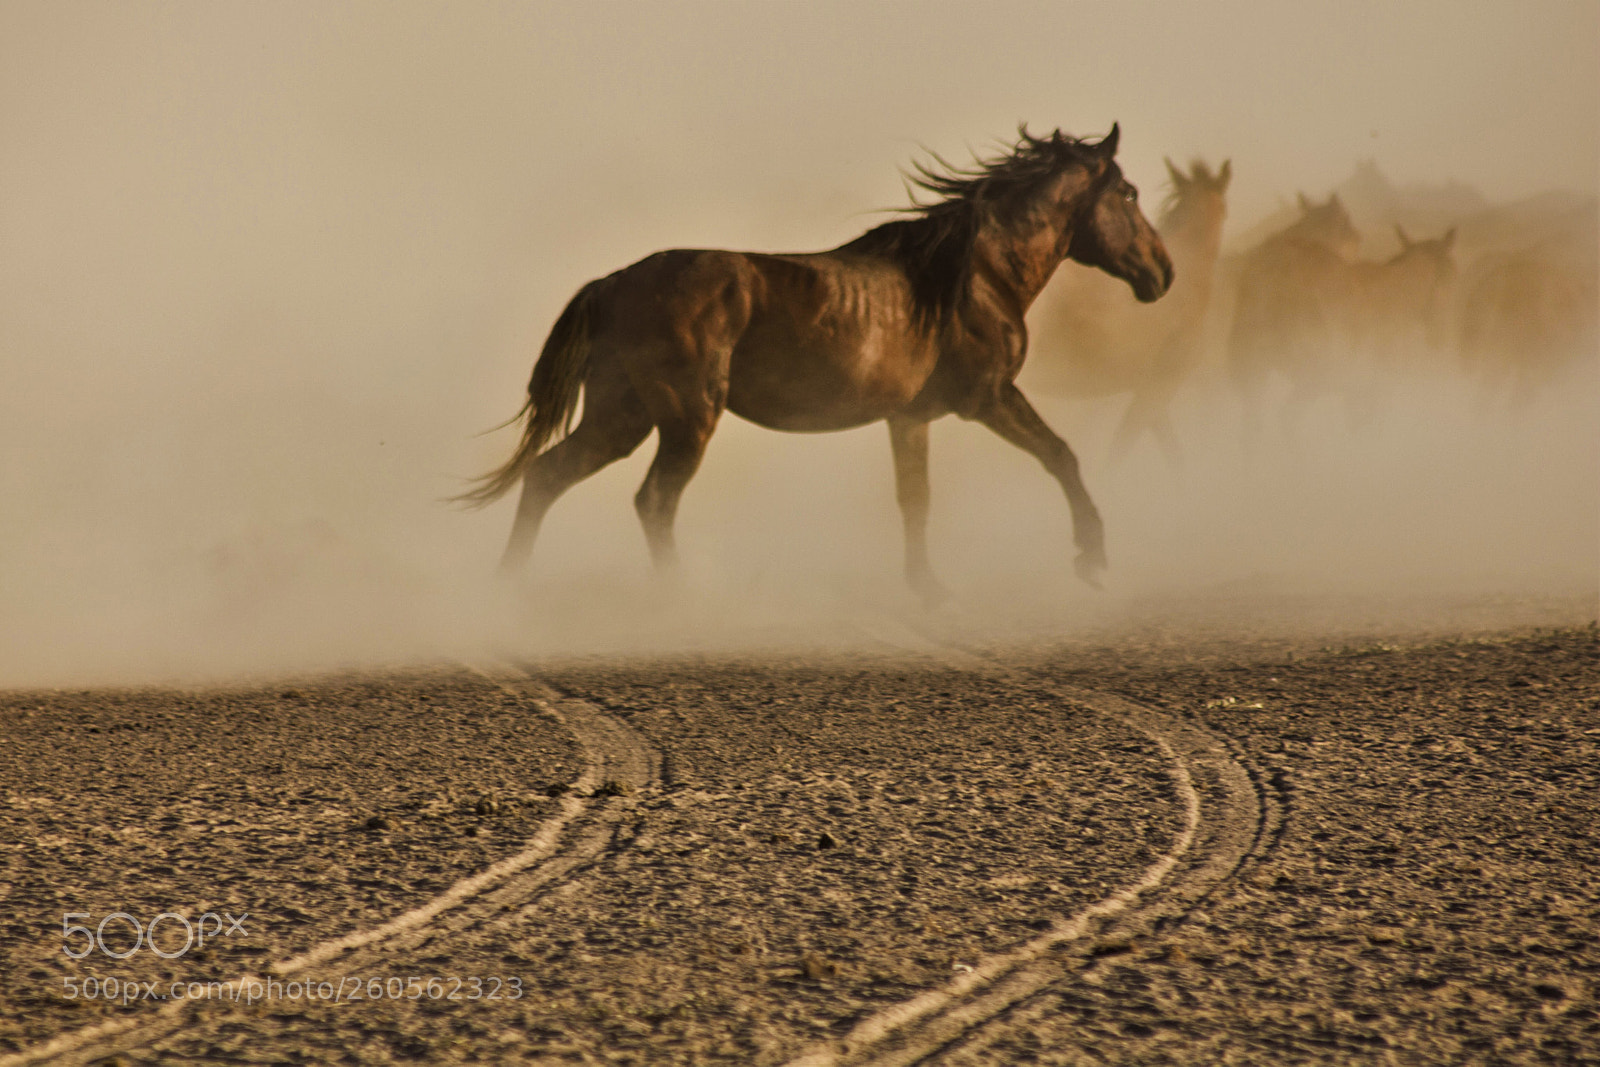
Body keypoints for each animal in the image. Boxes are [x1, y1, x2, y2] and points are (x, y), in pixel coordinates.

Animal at [460, 125, 1172, 603]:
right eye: (1129, 192)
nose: (1162, 274)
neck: (971, 277)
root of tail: (613, 282)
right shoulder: (990, 398)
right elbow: (1062, 456)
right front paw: (1092, 558)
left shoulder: (910, 419)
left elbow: (915, 499)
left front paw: (928, 588)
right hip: (686, 419)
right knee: (653, 500)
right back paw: (680, 598)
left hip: (622, 417)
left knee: (547, 476)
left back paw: (506, 589)